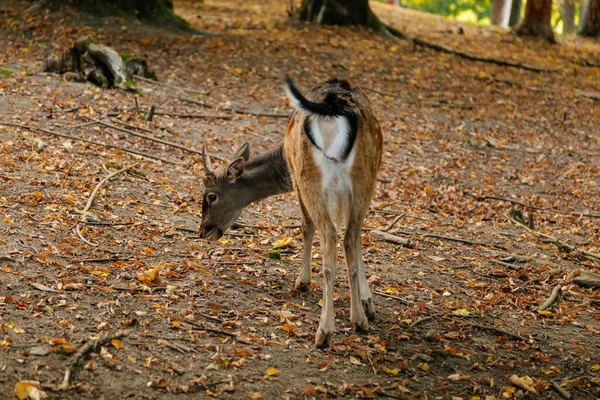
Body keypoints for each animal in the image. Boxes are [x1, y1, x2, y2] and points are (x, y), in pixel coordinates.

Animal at [199, 76, 382, 346]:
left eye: (211, 196)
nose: (202, 231)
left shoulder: (296, 178)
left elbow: (306, 226)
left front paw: (302, 281)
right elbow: (358, 241)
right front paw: (367, 302)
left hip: (310, 176)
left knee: (329, 234)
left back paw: (324, 331)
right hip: (365, 177)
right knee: (350, 237)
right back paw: (359, 320)